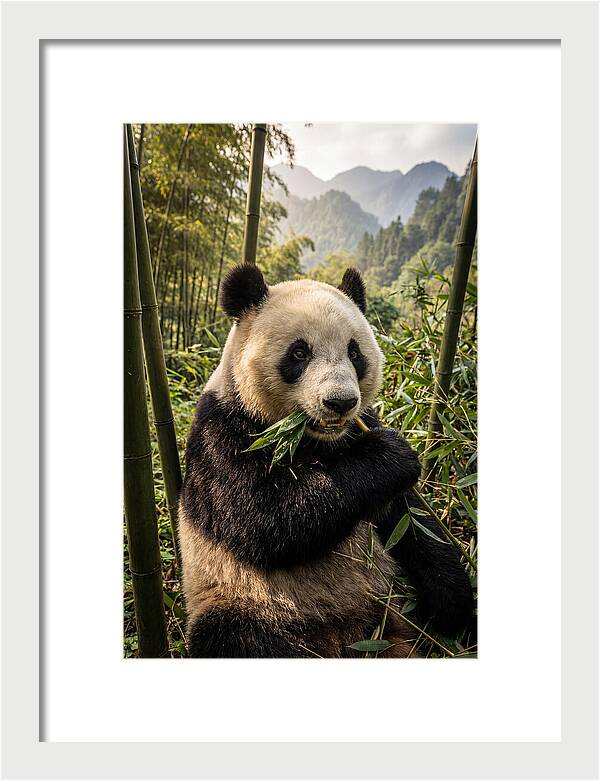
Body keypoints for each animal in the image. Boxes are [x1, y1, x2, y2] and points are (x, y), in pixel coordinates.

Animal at [179, 263, 474, 658]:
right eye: (299, 353)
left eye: (354, 352)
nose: (340, 402)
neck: (313, 440)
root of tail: (344, 638)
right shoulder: (223, 433)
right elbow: (265, 520)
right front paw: (391, 454)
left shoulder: (361, 431)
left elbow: (412, 523)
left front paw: (454, 604)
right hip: (244, 599)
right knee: (233, 637)